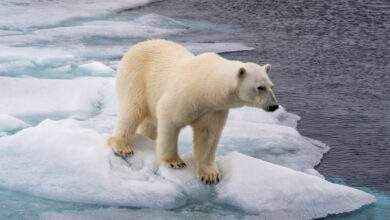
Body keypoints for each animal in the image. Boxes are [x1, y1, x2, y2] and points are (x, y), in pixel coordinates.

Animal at [106, 39, 278, 184]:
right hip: (136, 79)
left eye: (271, 86)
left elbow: (208, 135)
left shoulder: (214, 109)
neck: (207, 87)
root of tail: (136, 46)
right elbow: (169, 120)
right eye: (260, 87)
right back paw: (123, 146)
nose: (274, 106)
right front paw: (174, 162)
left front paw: (210, 174)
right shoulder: (185, 96)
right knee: (132, 111)